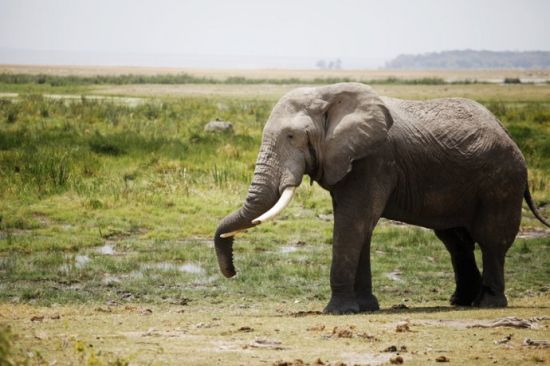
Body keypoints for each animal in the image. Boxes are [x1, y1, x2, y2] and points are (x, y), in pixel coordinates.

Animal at [213, 83, 548, 314]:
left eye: (292, 137)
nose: (232, 272)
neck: (327, 95)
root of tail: (508, 133)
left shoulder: (374, 159)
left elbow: (353, 222)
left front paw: (337, 311)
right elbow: (359, 227)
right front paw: (364, 307)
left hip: (502, 180)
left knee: (491, 239)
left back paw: (488, 304)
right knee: (455, 240)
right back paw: (461, 301)